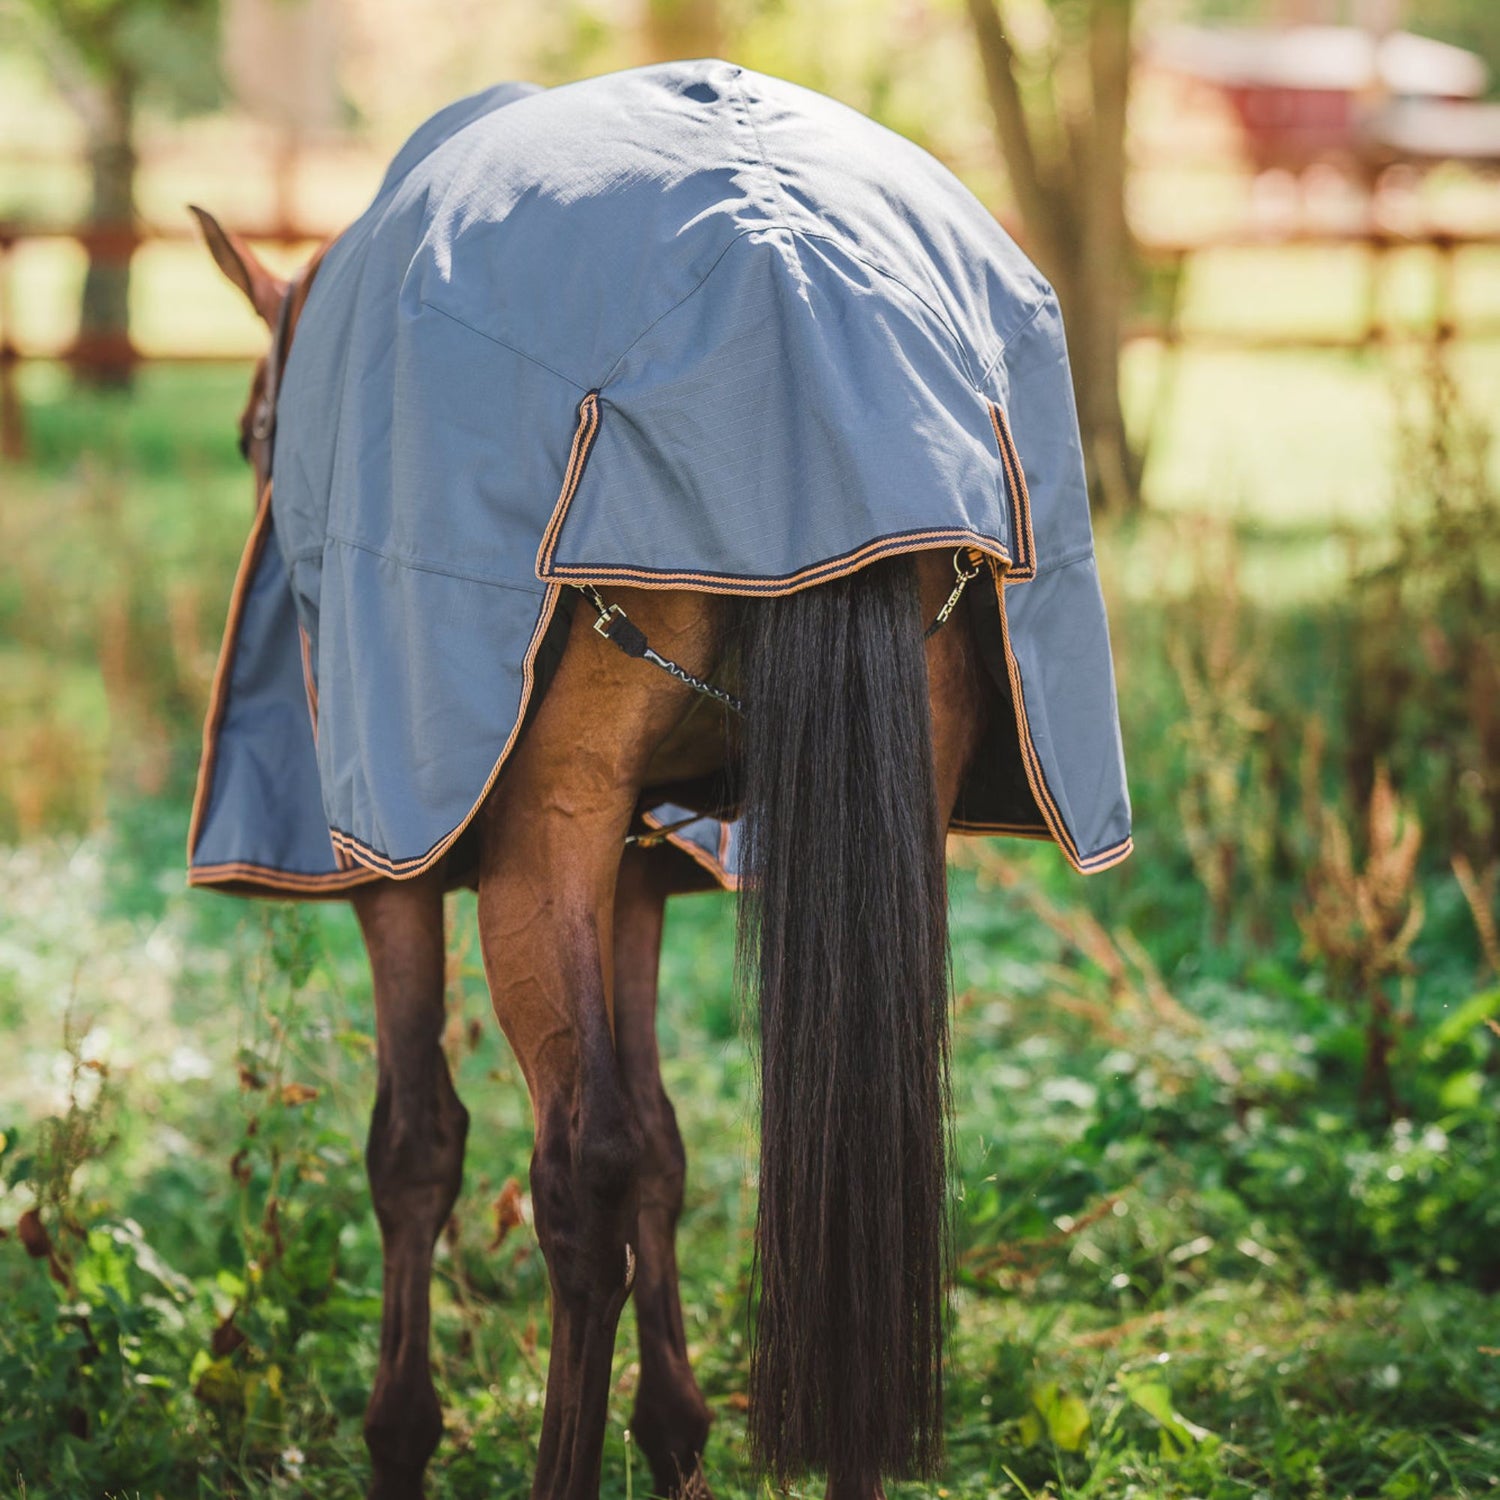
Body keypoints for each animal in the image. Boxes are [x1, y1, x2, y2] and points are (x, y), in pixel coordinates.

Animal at [181, 61, 1128, 1500]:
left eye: (251, 437)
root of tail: (800, 307)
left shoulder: (414, 865)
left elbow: (422, 1148)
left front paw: (401, 1434)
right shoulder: (633, 857)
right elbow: (669, 1147)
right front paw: (675, 1431)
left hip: (536, 852)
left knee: (579, 1174)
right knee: (849, 1153)